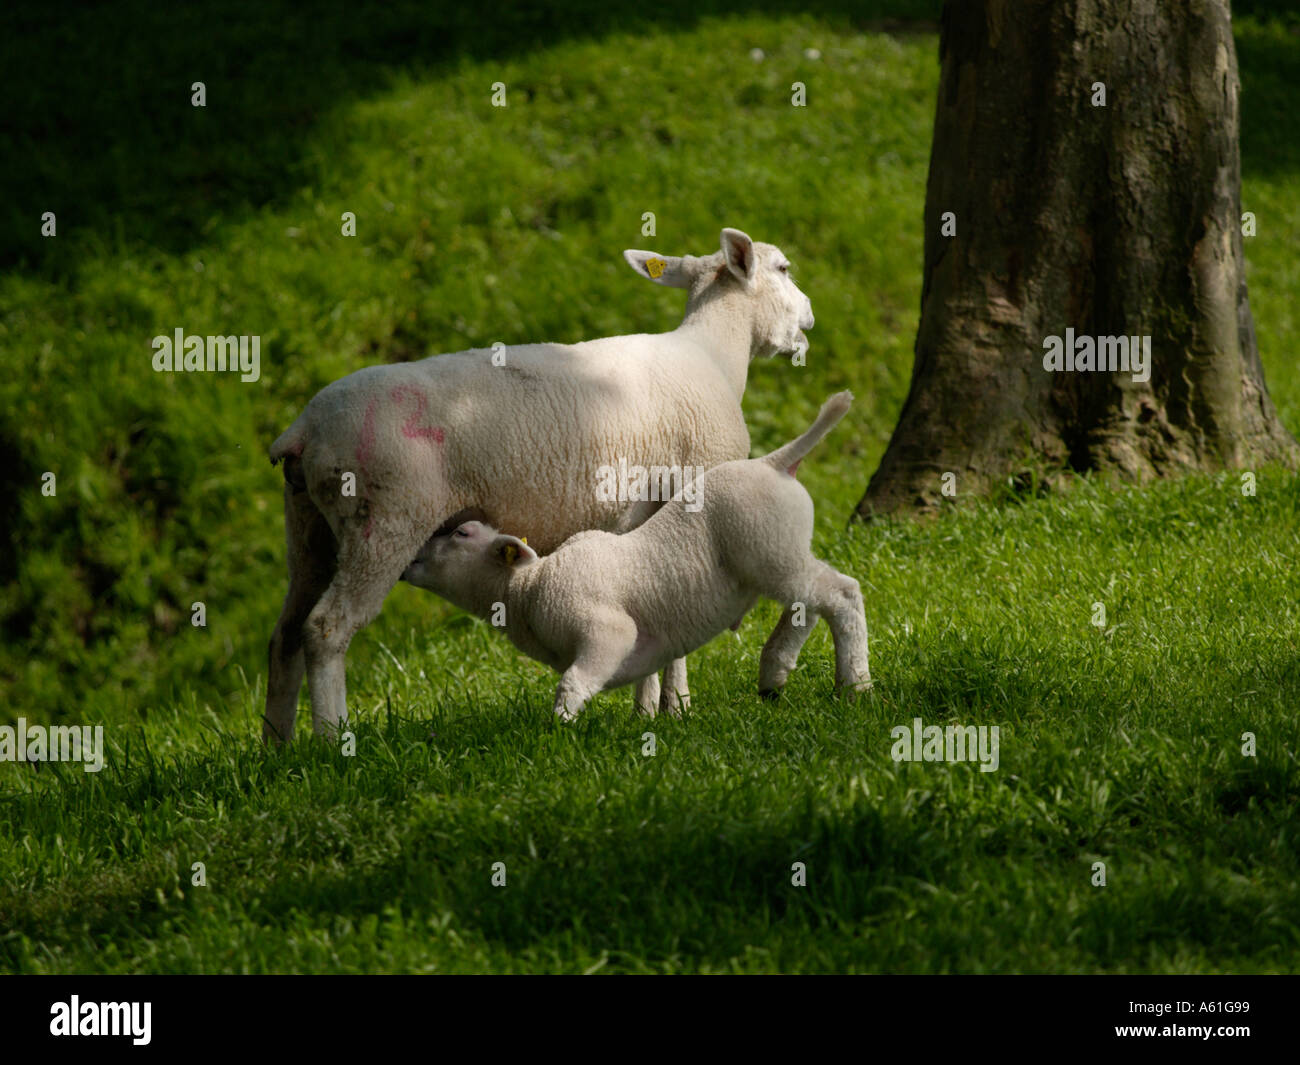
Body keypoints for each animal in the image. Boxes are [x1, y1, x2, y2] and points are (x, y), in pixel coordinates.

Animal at [265, 227, 815, 742]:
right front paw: (676, 707)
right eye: (784, 268)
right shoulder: (694, 485)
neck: (713, 354)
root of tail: (304, 430)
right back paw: (331, 739)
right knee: (327, 628)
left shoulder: (636, 519)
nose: (810, 320)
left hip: (310, 525)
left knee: (286, 634)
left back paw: (281, 747)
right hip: (384, 517)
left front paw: (646, 709)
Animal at [400, 391, 870, 719]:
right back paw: (774, 672)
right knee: (807, 603)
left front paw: (558, 731)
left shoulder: (606, 630)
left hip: (768, 549)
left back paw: (855, 687)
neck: (526, 588)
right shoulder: (646, 640)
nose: (409, 559)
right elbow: (645, 677)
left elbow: (573, 683)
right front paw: (646, 716)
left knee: (841, 595)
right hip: (779, 553)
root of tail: (775, 463)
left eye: (462, 533)